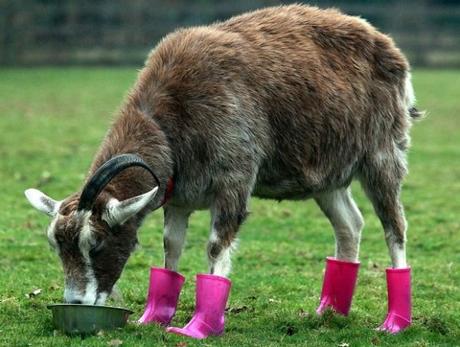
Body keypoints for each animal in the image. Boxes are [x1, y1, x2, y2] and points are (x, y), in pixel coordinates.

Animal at [25, 4, 420, 338]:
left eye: (97, 243)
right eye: (56, 245)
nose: (77, 302)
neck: (170, 118)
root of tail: (388, 47)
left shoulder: (234, 179)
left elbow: (216, 248)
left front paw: (201, 327)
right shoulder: (179, 196)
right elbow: (171, 248)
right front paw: (153, 317)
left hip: (382, 155)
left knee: (395, 227)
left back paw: (395, 322)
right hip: (327, 175)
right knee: (349, 224)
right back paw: (330, 313)